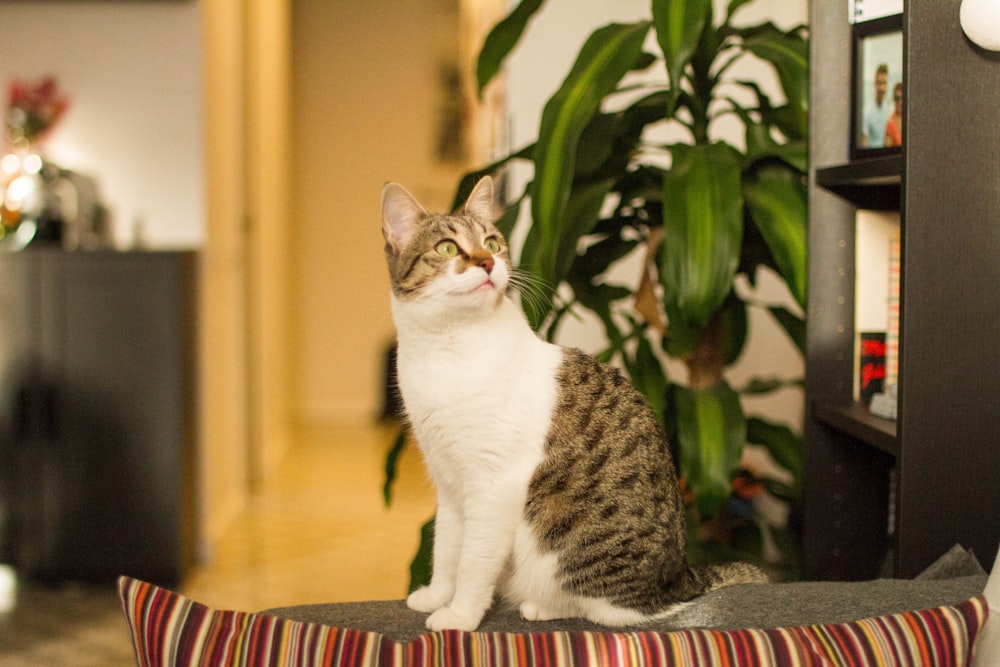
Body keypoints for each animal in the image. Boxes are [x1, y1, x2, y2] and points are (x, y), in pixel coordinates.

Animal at [378, 174, 760, 632]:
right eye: (448, 248)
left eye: (491, 242)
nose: (487, 263)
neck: (449, 349)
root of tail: (683, 574)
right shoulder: (449, 482)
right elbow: (447, 549)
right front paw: (437, 595)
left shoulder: (493, 484)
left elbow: (473, 562)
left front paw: (460, 615)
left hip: (564, 554)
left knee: (610, 610)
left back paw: (542, 606)